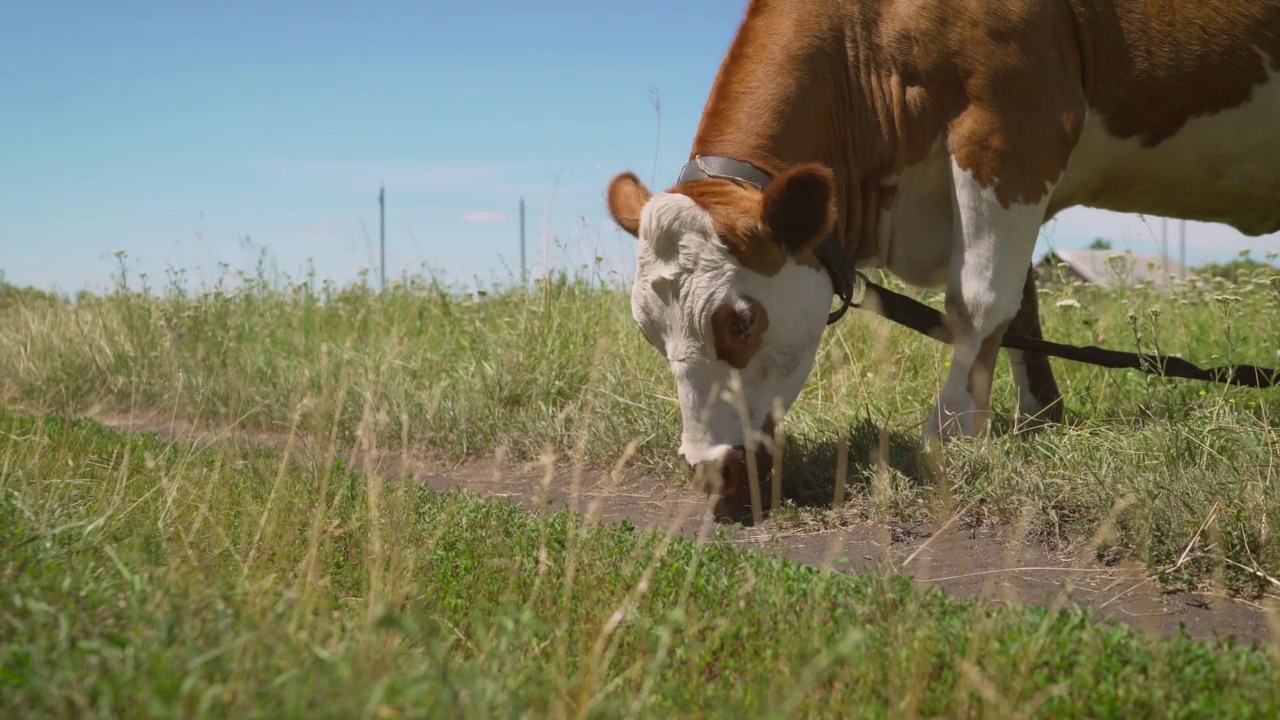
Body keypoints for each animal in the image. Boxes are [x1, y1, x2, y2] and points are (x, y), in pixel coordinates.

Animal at [601, 0, 1280, 504]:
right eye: (648, 331)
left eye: (741, 320)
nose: (709, 472)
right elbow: (1021, 304)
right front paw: (1039, 418)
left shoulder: (1015, 122)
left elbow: (980, 299)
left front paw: (950, 435)